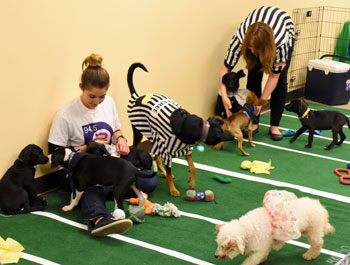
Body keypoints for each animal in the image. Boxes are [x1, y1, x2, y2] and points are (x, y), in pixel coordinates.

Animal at [127, 62, 234, 196]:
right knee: (137, 149)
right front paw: (173, 189)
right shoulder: (167, 152)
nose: (228, 140)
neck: (199, 127)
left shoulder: (186, 149)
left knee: (157, 157)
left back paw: (162, 171)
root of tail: (136, 97)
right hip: (139, 132)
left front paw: (191, 182)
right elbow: (170, 172)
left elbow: (193, 167)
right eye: (219, 140)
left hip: (155, 136)